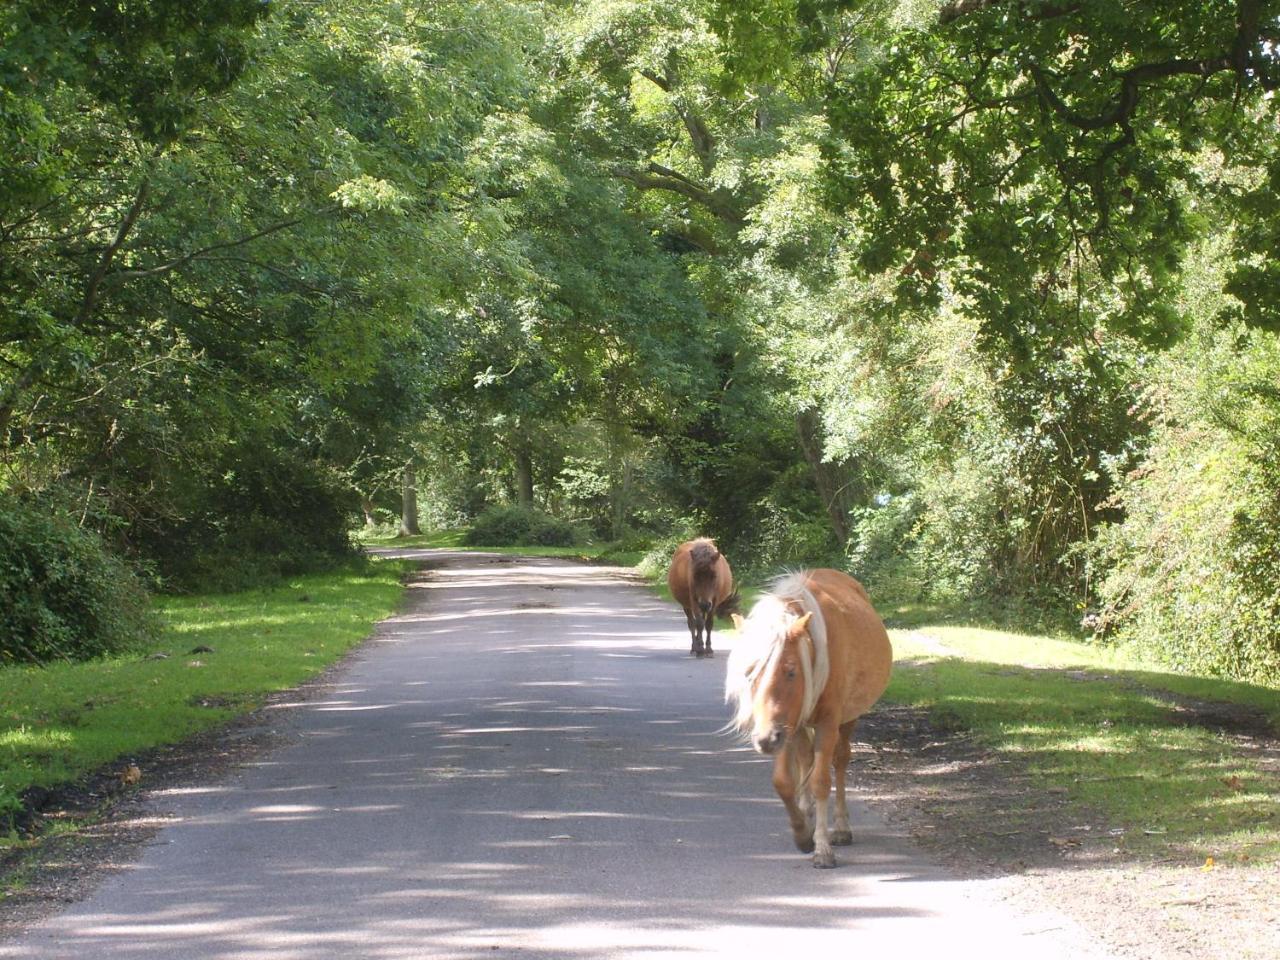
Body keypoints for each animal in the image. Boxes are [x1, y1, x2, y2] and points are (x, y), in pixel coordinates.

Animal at [727, 568, 896, 870]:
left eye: (791, 671)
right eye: (748, 673)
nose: (764, 739)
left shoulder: (826, 724)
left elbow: (820, 781)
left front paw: (823, 848)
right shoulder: (785, 727)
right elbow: (784, 782)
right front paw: (802, 833)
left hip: (847, 721)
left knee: (839, 761)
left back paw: (840, 827)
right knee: (804, 758)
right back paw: (806, 813)